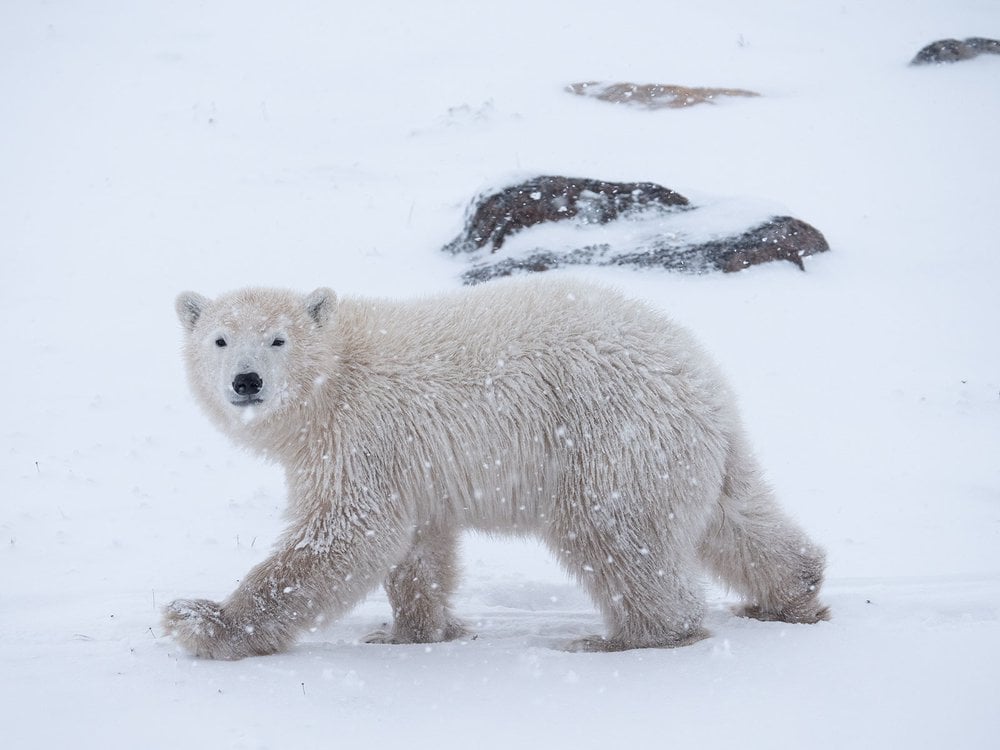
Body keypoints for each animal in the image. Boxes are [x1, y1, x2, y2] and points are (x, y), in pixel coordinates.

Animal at [163, 277, 829, 659]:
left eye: (277, 339)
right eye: (220, 339)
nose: (246, 382)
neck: (332, 380)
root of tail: (701, 378)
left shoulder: (361, 433)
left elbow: (346, 533)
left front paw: (205, 622)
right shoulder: (409, 461)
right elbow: (418, 546)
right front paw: (411, 632)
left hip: (609, 440)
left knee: (614, 535)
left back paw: (622, 638)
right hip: (685, 451)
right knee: (734, 516)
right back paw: (791, 593)